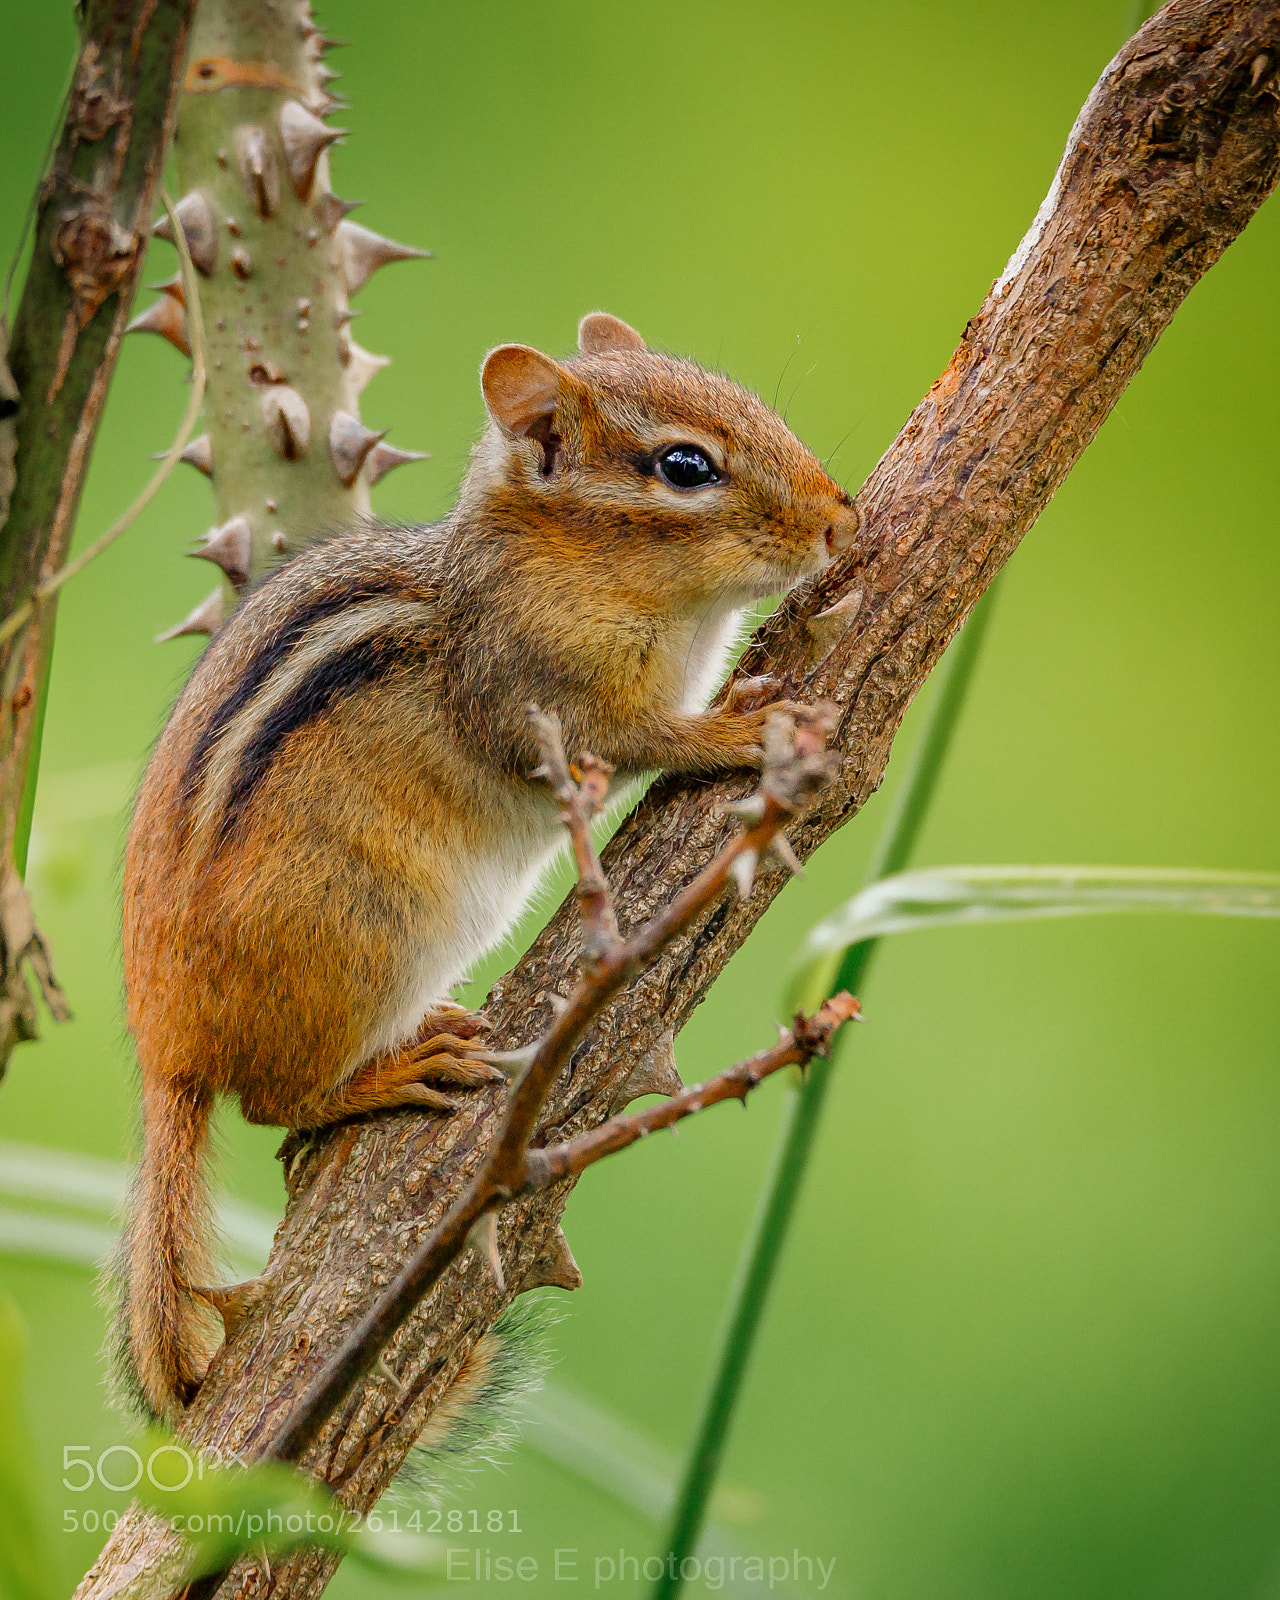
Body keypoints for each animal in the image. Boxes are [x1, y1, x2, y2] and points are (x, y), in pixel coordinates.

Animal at [119, 311, 859, 1423]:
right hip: (366, 930)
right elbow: (638, 737)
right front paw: (732, 728)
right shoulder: (543, 695)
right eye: (684, 466)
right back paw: (388, 1070)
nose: (837, 521)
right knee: (274, 1101)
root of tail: (166, 1047)